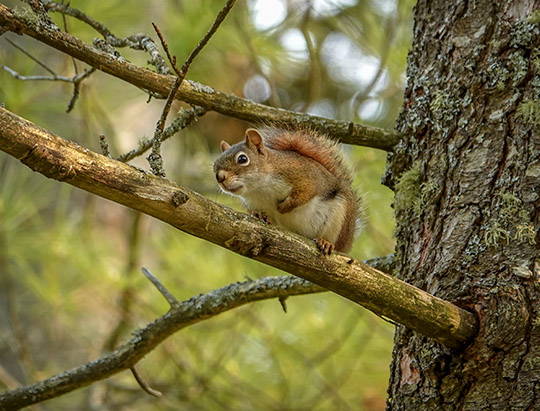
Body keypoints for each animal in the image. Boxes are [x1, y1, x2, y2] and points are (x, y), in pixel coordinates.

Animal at [212, 127, 358, 254]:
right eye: (215, 165)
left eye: (242, 159)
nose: (220, 177)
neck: (259, 189)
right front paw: (259, 215)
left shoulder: (306, 177)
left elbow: (307, 192)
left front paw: (283, 208)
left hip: (340, 218)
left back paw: (326, 243)